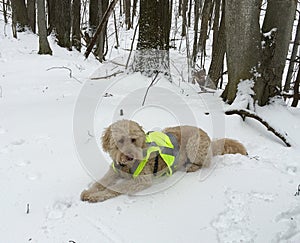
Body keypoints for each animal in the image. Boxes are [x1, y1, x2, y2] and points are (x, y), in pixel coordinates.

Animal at [81, 118, 247, 202]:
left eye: (133, 139)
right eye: (120, 140)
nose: (129, 156)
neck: (126, 166)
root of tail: (210, 139)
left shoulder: (142, 180)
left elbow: (116, 188)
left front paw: (95, 196)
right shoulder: (114, 171)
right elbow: (100, 182)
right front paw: (89, 191)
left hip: (194, 144)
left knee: (206, 163)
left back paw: (191, 167)